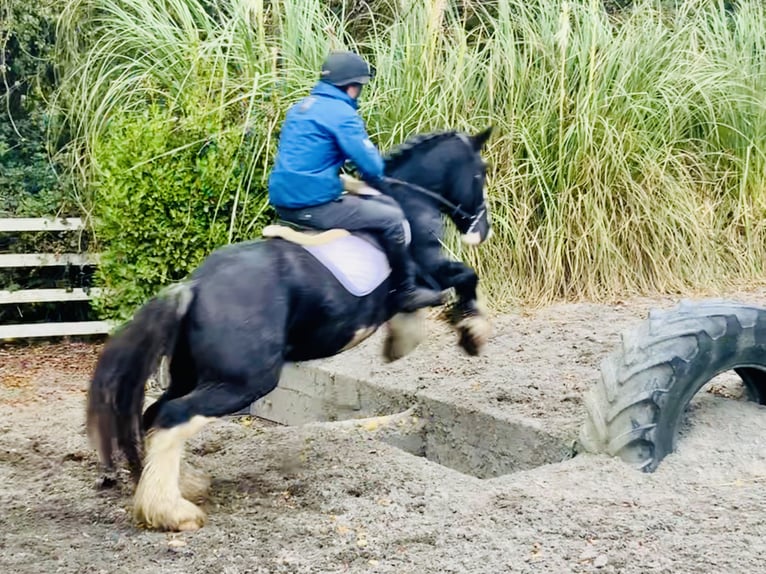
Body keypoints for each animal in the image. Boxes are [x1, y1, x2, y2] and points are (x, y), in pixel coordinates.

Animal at [87, 126, 496, 532]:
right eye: (481, 173)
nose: (482, 231)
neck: (409, 199)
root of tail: (195, 287)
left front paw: (403, 341)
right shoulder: (432, 270)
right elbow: (464, 278)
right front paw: (472, 335)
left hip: (193, 374)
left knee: (154, 415)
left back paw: (183, 484)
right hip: (244, 382)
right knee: (174, 416)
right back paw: (172, 510)